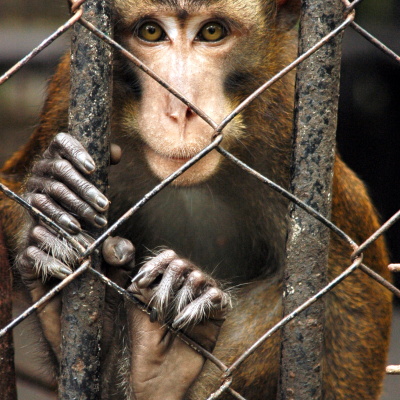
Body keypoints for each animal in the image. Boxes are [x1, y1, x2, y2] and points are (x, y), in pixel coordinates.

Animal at [0, 0, 392, 398]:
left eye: (212, 32)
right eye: (151, 32)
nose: (181, 110)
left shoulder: (289, 116)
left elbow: (352, 284)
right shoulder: (69, 92)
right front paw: (53, 194)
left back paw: (162, 358)